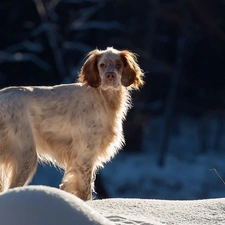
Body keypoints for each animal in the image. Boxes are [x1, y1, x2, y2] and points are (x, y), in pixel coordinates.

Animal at [0, 46, 144, 200]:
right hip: (27, 154)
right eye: (102, 65)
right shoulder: (85, 155)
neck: (103, 98)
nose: (110, 76)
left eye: (118, 65)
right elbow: (85, 192)